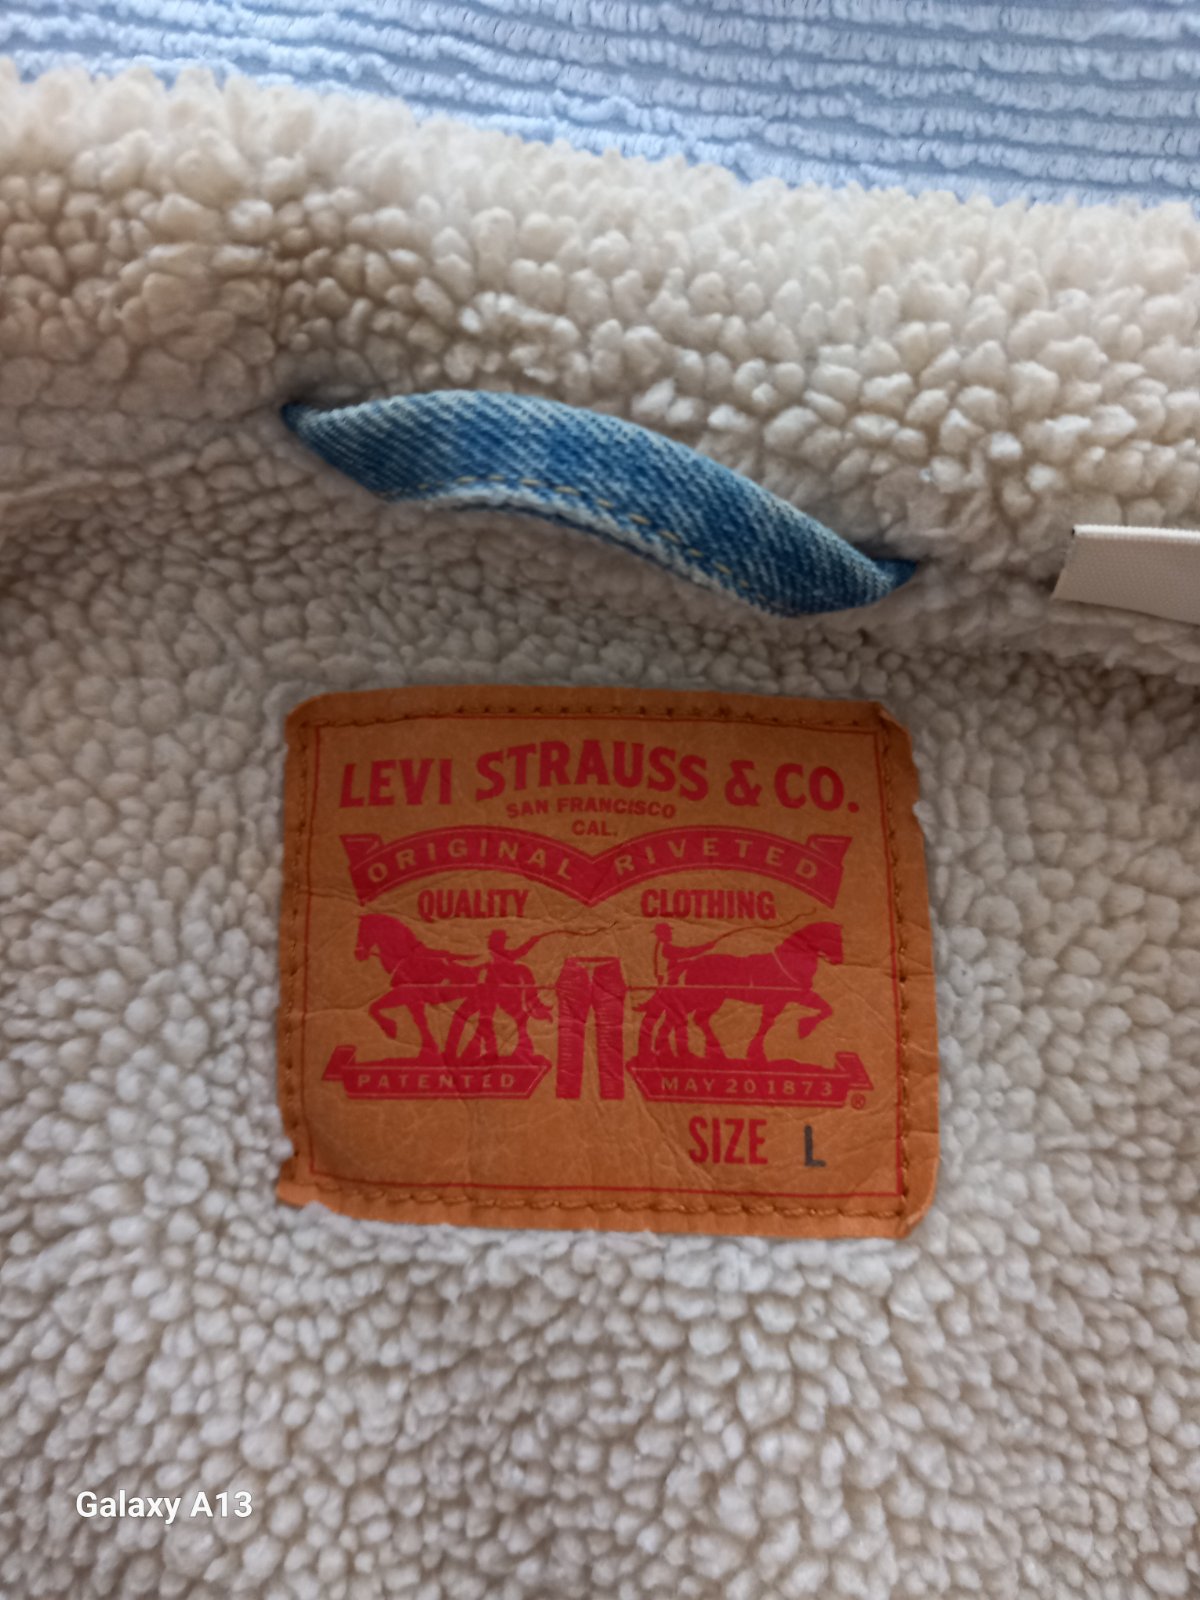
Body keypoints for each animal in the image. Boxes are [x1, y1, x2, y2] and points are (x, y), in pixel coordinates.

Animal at [637, 922, 844, 1065]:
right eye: (833, 938)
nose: (839, 960)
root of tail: (691, 963)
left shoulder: (790, 998)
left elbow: (825, 1008)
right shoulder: (780, 1000)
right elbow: (768, 1023)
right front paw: (803, 1029)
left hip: (711, 999)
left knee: (690, 1017)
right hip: (707, 997)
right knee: (680, 1015)